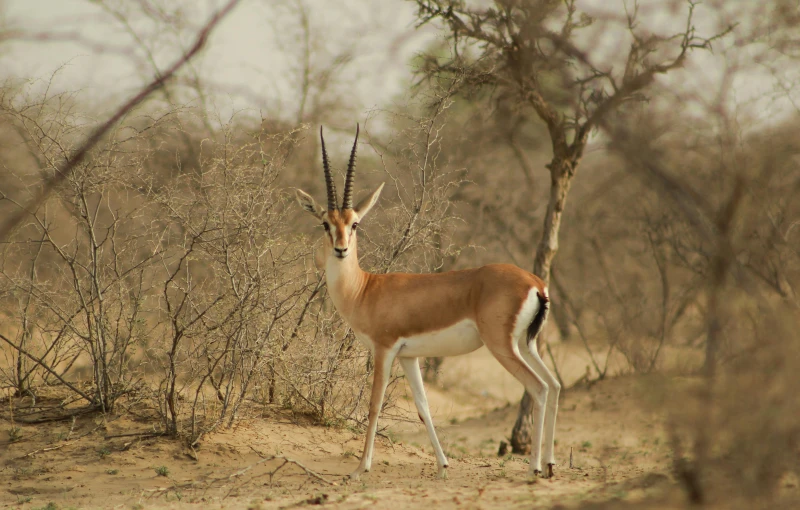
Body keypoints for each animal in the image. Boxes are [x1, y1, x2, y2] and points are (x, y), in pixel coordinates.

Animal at [296, 125, 564, 480]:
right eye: (325, 223)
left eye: (355, 223)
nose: (341, 249)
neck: (365, 289)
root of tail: (535, 283)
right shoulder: (409, 357)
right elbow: (423, 407)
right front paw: (442, 465)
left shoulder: (384, 350)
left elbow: (374, 405)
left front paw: (359, 468)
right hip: (526, 344)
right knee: (555, 384)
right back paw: (549, 464)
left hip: (502, 346)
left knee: (539, 387)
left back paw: (534, 467)